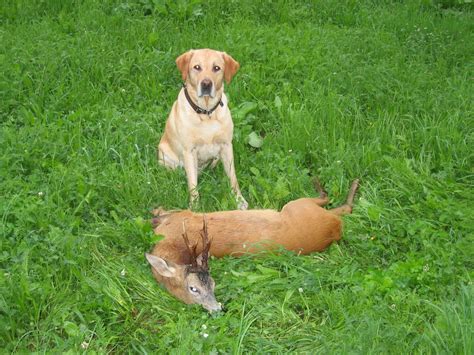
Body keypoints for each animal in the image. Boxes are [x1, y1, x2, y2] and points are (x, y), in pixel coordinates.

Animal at [145, 179, 360, 312]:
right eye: (193, 289)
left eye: (213, 283)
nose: (217, 309)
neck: (169, 245)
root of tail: (335, 228)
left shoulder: (181, 216)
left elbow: (161, 214)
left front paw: (155, 209)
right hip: (301, 208)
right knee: (341, 206)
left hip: (297, 204)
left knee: (329, 199)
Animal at [159, 48, 248, 210]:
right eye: (197, 67)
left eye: (216, 68)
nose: (206, 84)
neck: (206, 113)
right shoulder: (189, 151)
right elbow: (193, 184)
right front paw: (195, 207)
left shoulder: (226, 146)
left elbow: (233, 178)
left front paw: (239, 200)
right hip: (165, 155)